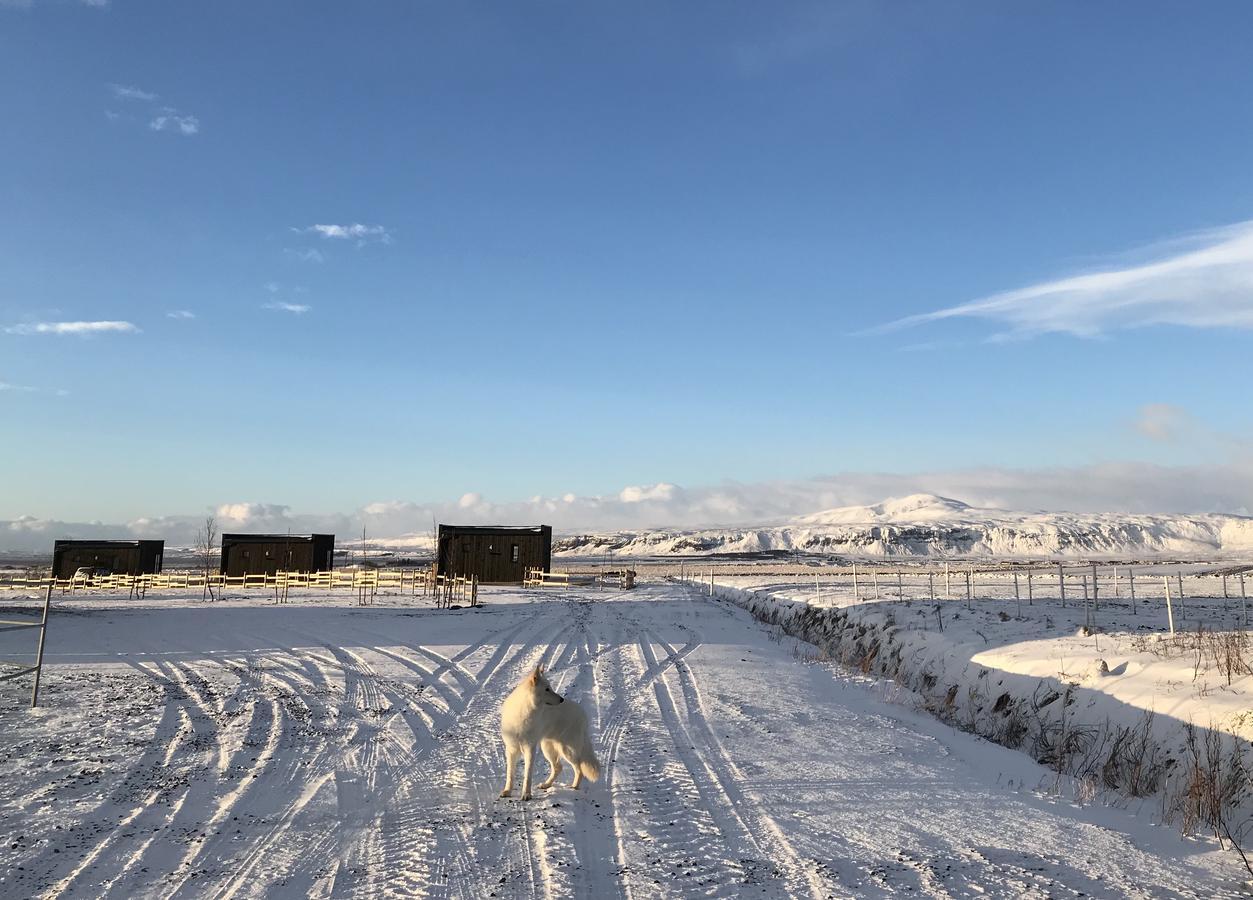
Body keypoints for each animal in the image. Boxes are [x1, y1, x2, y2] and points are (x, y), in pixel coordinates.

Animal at [496, 666, 598, 802]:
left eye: (550, 687)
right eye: (547, 689)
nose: (562, 699)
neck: (524, 710)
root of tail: (583, 714)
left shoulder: (529, 749)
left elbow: (527, 775)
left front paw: (526, 794)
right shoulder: (511, 750)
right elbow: (510, 774)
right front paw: (507, 791)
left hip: (566, 750)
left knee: (579, 769)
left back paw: (574, 787)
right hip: (548, 748)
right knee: (558, 767)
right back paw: (547, 784)